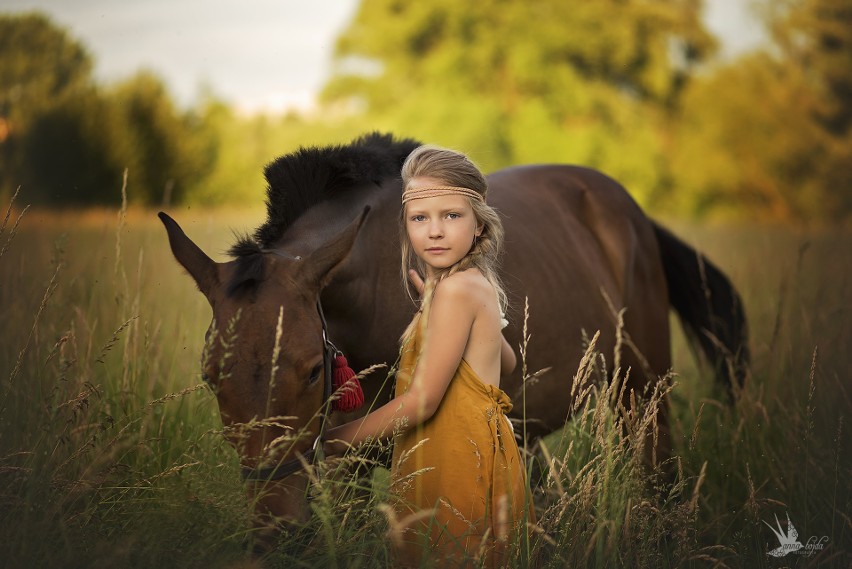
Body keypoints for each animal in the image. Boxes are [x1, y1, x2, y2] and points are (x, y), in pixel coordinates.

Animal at [158, 133, 744, 532]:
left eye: (309, 371)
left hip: (643, 394)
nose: (276, 531)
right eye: (211, 377)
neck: (373, 290)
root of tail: (631, 211)